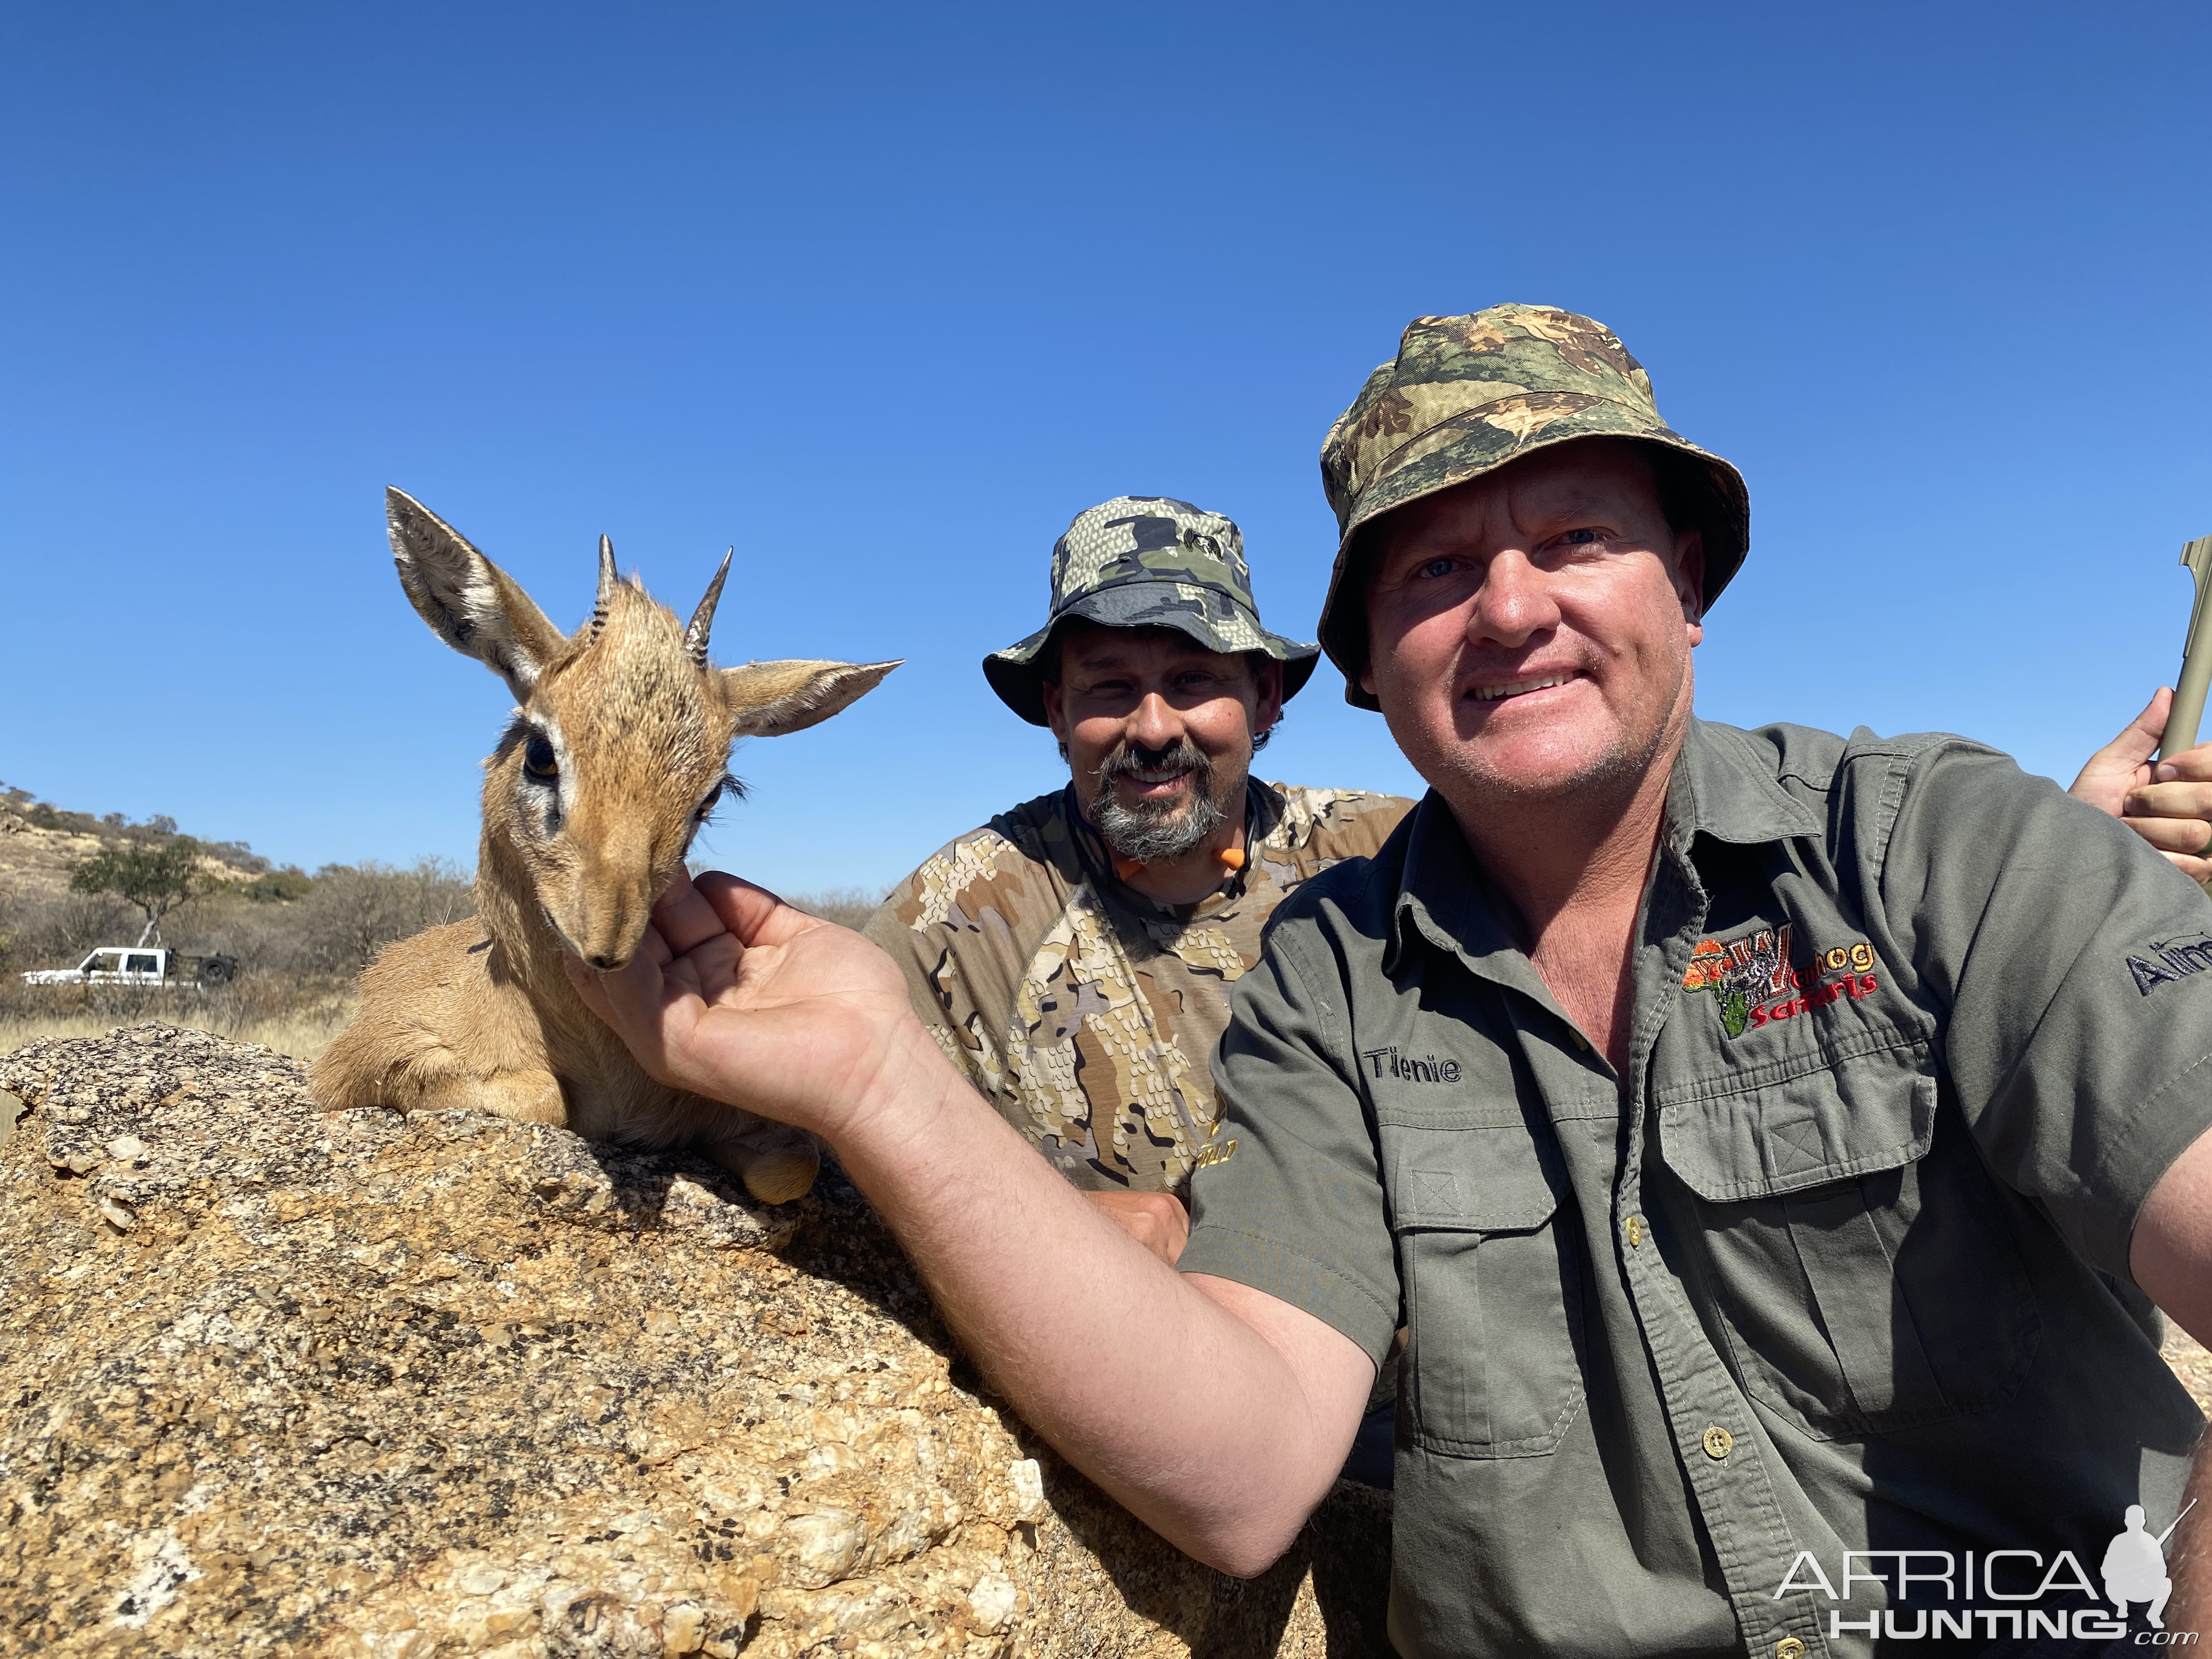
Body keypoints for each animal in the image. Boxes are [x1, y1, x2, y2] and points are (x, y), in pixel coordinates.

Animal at [314, 487, 898, 1203]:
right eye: (541, 752)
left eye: (712, 794)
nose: (607, 943)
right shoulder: (358, 1068)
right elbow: (545, 1098)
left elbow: (791, 1167)